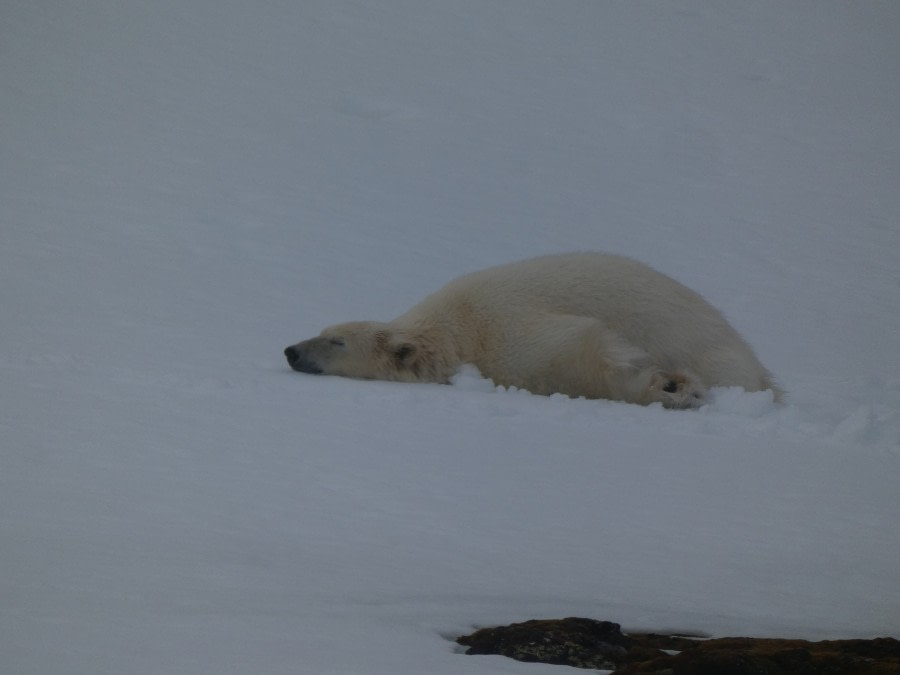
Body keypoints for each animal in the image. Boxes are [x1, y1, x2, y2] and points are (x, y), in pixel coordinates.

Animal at [284, 254, 780, 410]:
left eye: (336, 340)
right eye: (322, 328)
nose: (290, 351)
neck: (450, 330)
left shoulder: (501, 328)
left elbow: (576, 351)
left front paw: (673, 387)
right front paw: (674, 386)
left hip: (717, 354)